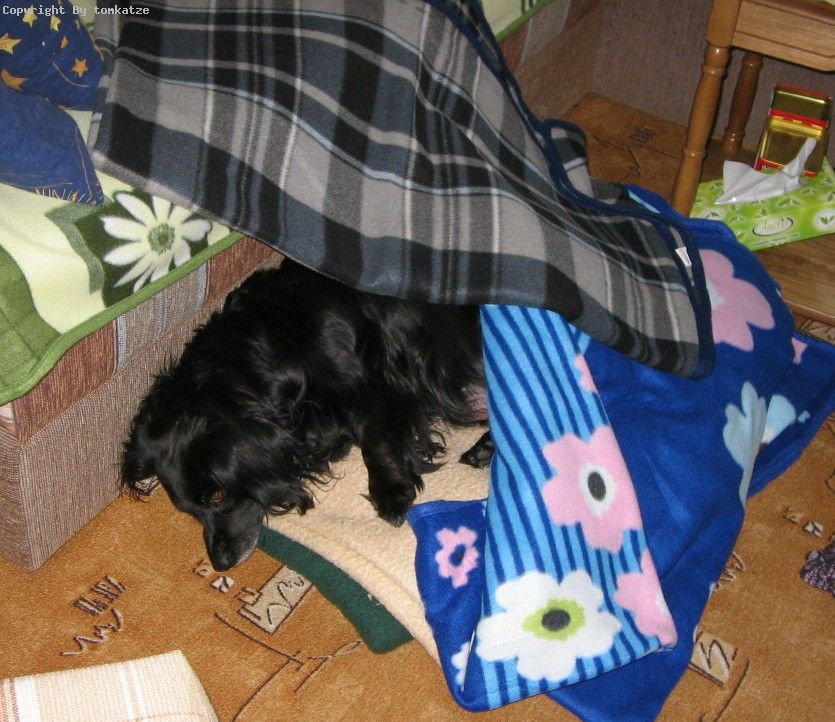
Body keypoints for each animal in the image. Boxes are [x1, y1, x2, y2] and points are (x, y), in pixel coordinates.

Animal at [121, 258, 493, 570]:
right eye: (188, 510)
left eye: (216, 495)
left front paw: (390, 490)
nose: (221, 563)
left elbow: (373, 436)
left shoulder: (377, 377)